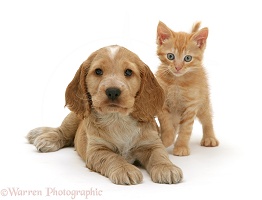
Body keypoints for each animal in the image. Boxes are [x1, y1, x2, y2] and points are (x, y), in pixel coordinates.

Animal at [26, 45, 182, 184]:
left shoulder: (152, 143)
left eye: (128, 72)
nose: (113, 91)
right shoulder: (97, 150)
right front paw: (125, 169)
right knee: (62, 132)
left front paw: (166, 168)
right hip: (74, 117)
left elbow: (159, 155)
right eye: (98, 71)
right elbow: (113, 157)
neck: (117, 119)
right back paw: (44, 137)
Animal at [156, 21, 219, 156]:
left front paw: (181, 147)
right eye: (170, 56)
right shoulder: (161, 101)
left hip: (203, 101)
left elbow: (186, 129)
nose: (178, 67)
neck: (177, 82)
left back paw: (209, 137)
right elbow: (166, 121)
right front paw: (167, 138)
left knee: (207, 118)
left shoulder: (191, 106)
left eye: (187, 58)